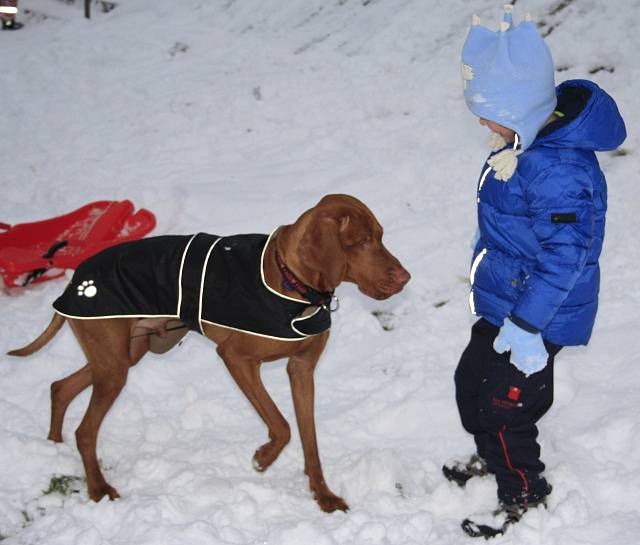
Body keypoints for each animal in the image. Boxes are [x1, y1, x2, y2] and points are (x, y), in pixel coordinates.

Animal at [8, 193, 410, 512]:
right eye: (361, 242)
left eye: (380, 237)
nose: (406, 278)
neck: (292, 283)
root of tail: (75, 279)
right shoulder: (236, 358)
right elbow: (281, 426)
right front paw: (263, 458)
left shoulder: (301, 370)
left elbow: (309, 440)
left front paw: (323, 496)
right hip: (114, 365)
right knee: (85, 430)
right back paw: (98, 489)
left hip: (123, 355)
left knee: (60, 387)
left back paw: (53, 448)